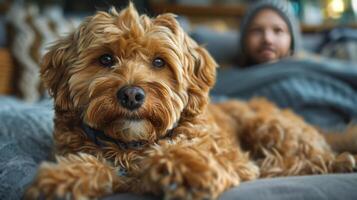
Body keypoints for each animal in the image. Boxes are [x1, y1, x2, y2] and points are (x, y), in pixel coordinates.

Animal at [25, 3, 356, 200]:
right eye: (106, 59)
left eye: (159, 62)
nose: (131, 94)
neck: (130, 146)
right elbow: (90, 163)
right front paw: (66, 177)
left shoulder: (231, 157)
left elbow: (190, 153)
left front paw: (183, 166)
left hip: (268, 125)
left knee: (317, 159)